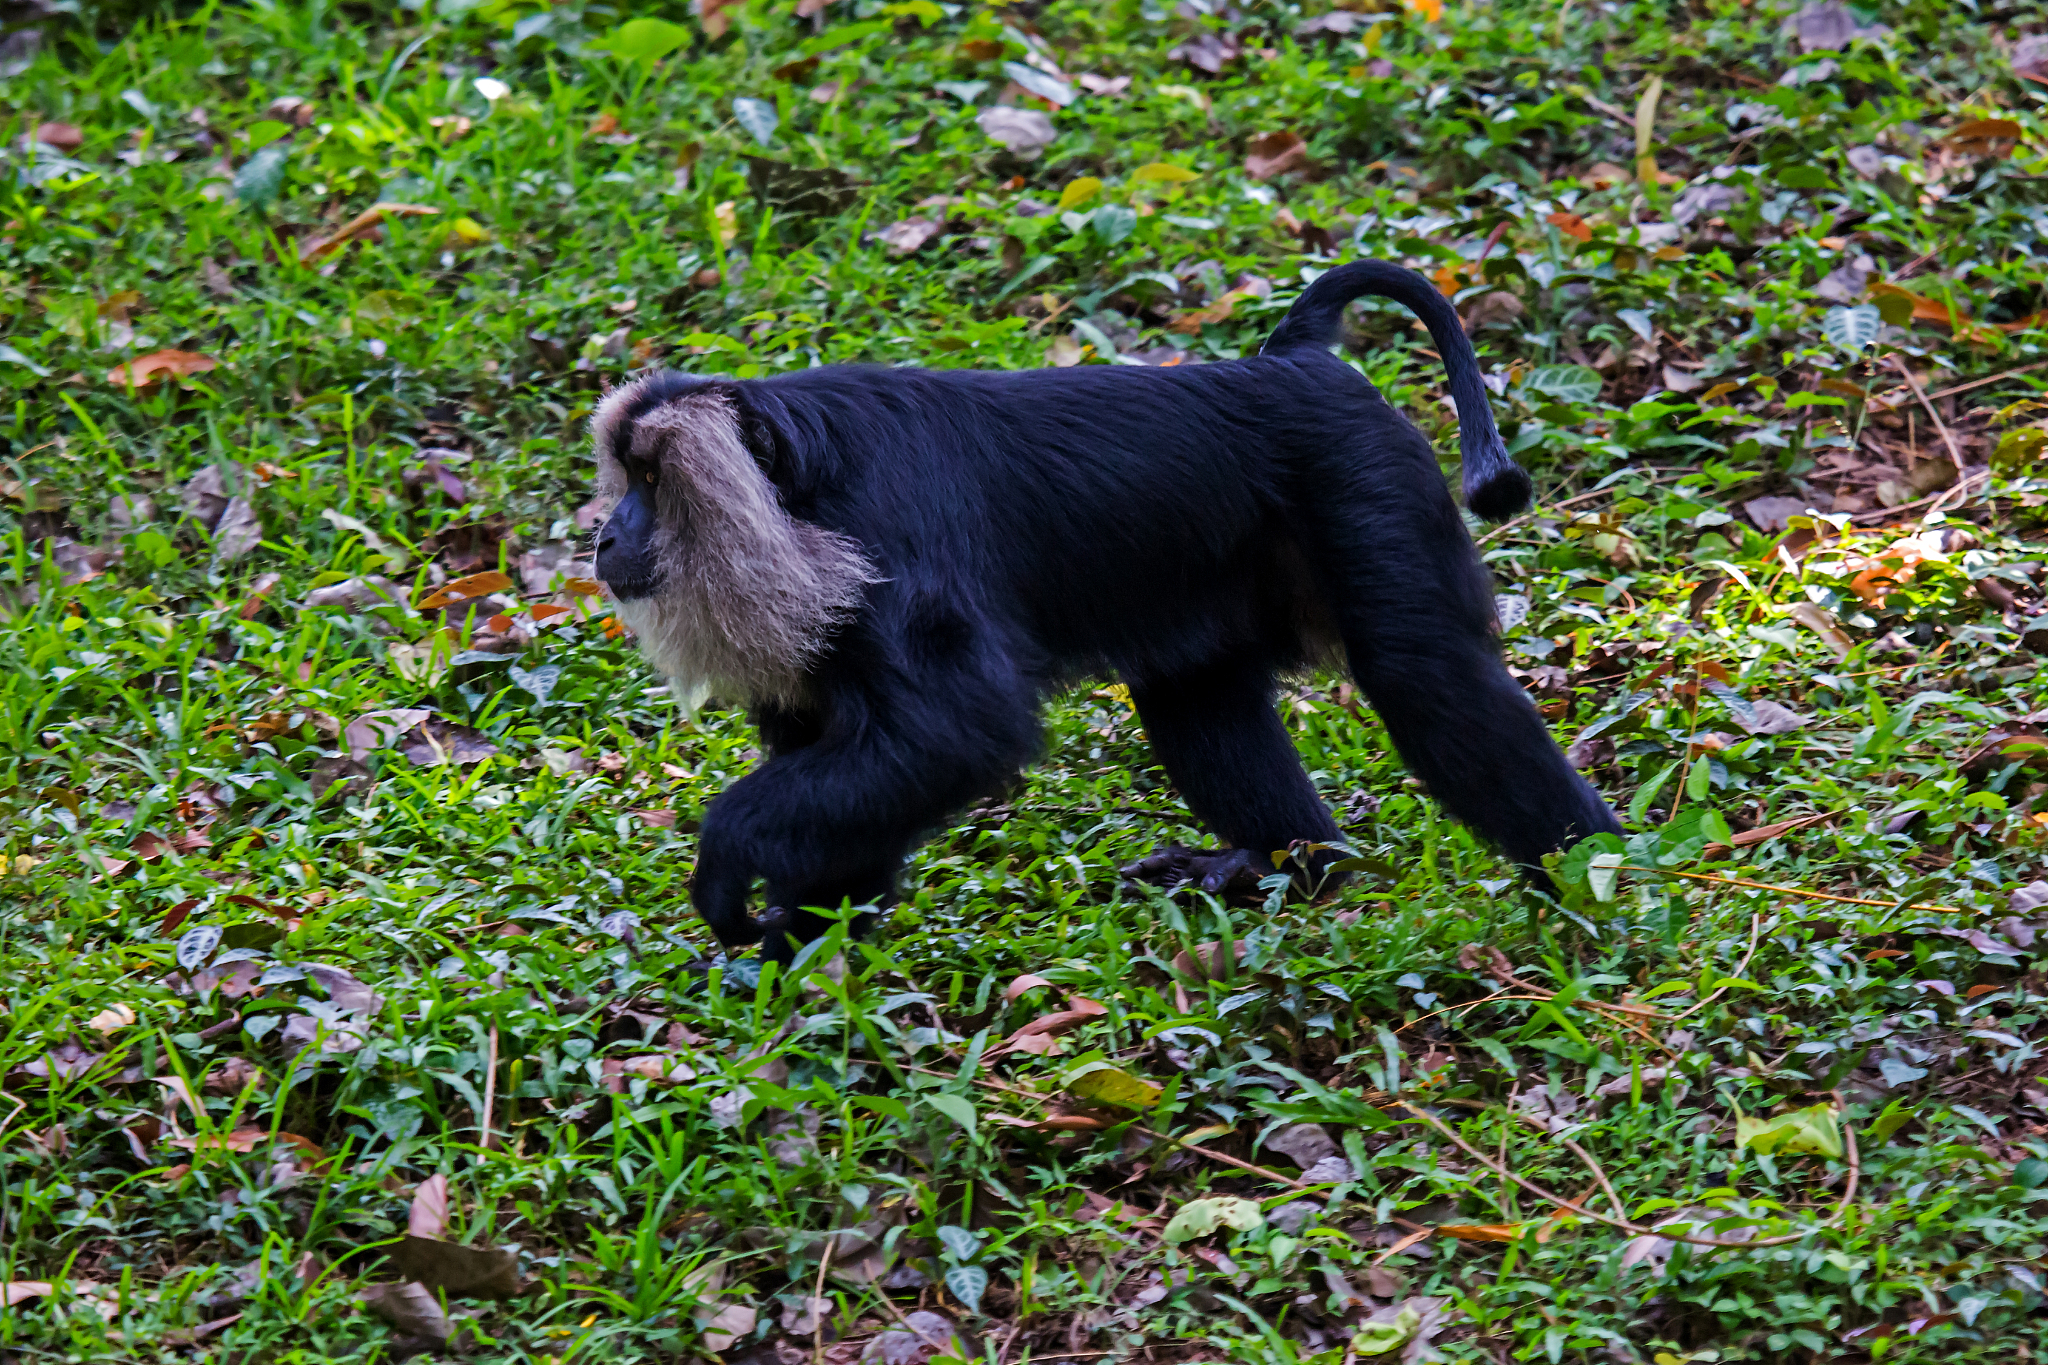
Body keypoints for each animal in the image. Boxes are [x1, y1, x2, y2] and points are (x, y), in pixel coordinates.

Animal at [590, 259, 1623, 963]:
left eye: (653, 482)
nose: (605, 537)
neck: (803, 492)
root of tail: (1287, 364)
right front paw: (801, 955)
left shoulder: (896, 539)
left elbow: (959, 731)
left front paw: (730, 860)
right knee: (1195, 697)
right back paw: (1286, 864)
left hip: (1361, 475)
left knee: (1427, 678)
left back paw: (1601, 878)